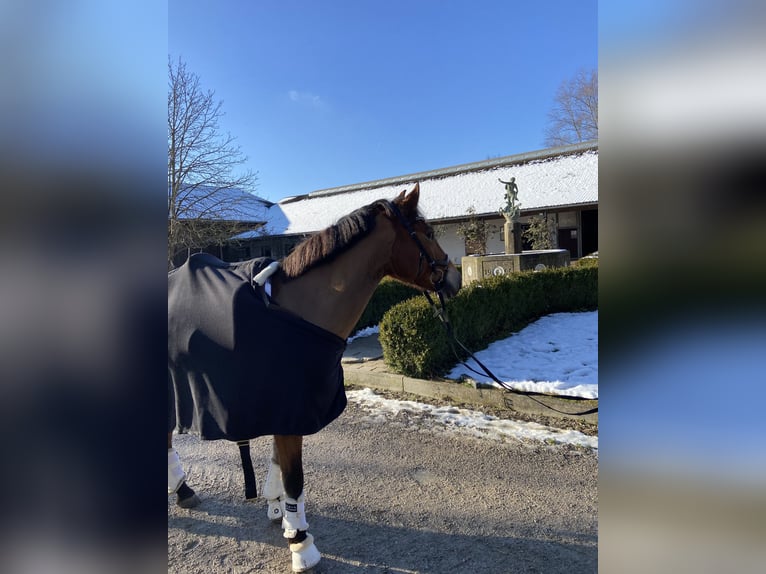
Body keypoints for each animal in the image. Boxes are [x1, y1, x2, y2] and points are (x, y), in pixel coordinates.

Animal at [167, 183, 461, 572]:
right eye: (427, 233)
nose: (456, 278)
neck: (299, 313)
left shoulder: (285, 411)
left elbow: (279, 465)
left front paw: (279, 510)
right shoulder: (290, 411)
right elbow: (295, 477)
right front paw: (300, 543)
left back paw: (183, 490)